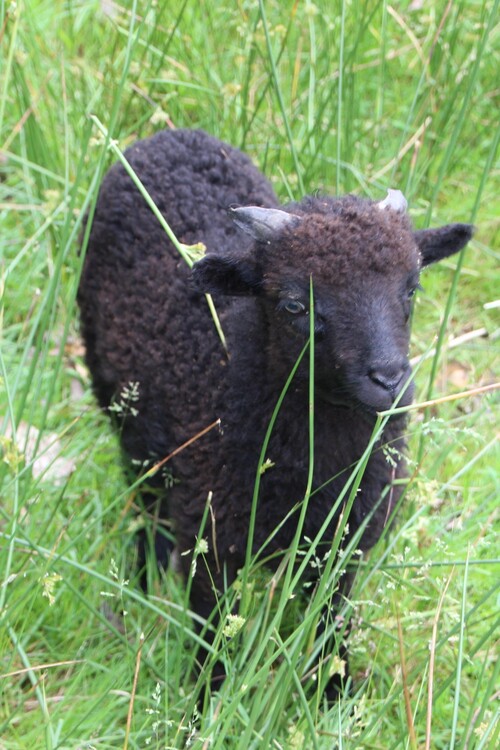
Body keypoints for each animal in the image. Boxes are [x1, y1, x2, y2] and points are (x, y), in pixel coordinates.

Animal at [78, 128, 472, 700]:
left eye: (411, 289)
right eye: (294, 305)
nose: (389, 378)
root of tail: (172, 135)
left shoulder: (340, 548)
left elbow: (332, 631)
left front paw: (333, 701)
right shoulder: (211, 539)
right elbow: (213, 639)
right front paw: (204, 707)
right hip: (124, 415)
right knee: (146, 503)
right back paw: (143, 585)